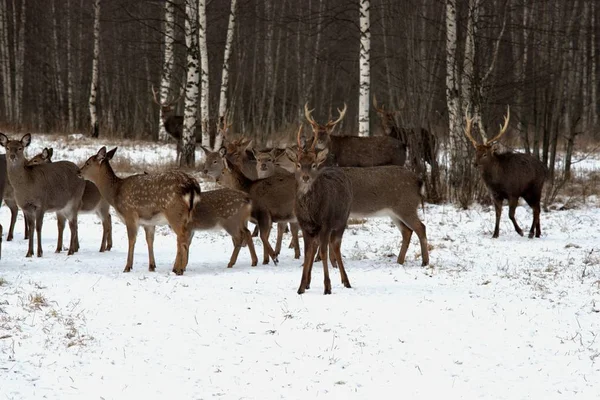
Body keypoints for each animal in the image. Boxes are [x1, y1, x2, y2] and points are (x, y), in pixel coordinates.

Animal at [78, 147, 202, 276]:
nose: (78, 172)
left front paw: (127, 267)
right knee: (186, 237)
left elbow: (132, 240)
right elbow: (150, 241)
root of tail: (192, 186)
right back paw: (179, 267)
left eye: (88, 163)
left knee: (182, 237)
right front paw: (152, 266)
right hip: (187, 215)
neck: (115, 193)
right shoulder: (148, 222)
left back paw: (179, 269)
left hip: (174, 212)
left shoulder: (129, 214)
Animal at [284, 126, 354, 296]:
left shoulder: (326, 223)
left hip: (342, 220)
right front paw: (301, 286)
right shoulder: (305, 225)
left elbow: (323, 252)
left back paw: (346, 281)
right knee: (318, 245)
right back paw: (309, 281)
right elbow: (307, 253)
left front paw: (327, 287)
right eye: (298, 164)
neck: (311, 212)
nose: (305, 177)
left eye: (314, 164)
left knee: (335, 245)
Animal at [464, 104, 548, 239]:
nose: (475, 164)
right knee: (537, 208)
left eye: (485, 154)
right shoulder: (495, 195)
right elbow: (498, 214)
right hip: (527, 193)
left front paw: (520, 231)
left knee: (536, 209)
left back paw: (530, 233)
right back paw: (537, 233)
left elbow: (510, 214)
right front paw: (495, 234)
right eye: (476, 152)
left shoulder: (513, 192)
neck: (497, 181)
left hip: (536, 187)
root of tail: (544, 168)